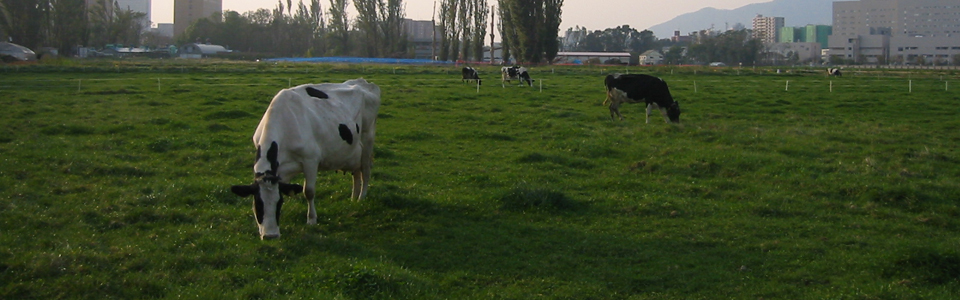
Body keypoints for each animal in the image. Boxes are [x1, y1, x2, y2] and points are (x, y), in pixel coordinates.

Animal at [231, 78, 380, 240]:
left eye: (279, 202)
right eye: (257, 204)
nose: (271, 236)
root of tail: (363, 82)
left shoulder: (311, 160)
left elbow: (308, 191)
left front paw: (312, 219)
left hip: (367, 141)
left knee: (365, 172)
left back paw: (361, 198)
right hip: (353, 152)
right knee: (357, 173)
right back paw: (353, 198)